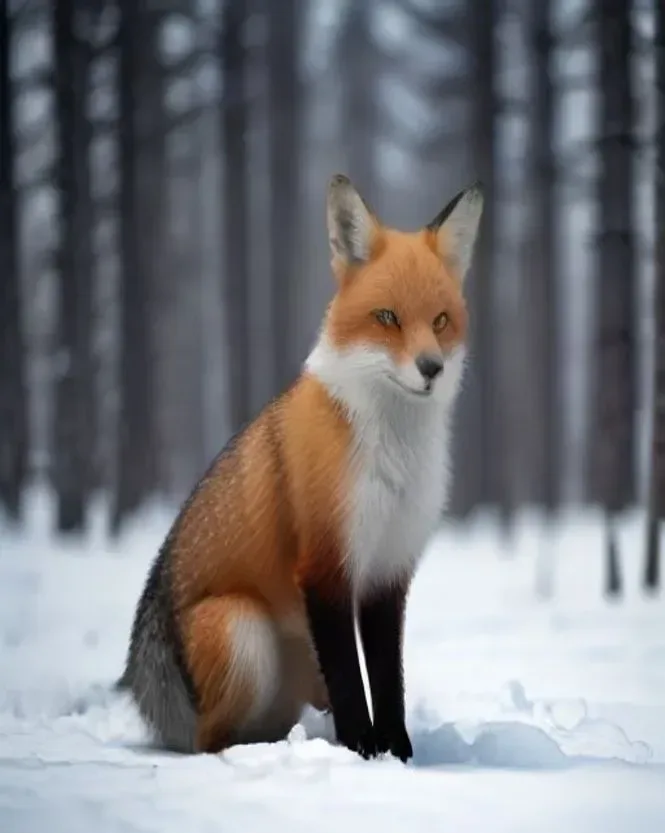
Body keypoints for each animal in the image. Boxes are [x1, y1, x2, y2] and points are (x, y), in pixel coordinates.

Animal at [117, 174, 484, 763]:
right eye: (388, 318)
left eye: (441, 321)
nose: (431, 368)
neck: (391, 452)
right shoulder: (324, 565)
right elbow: (352, 681)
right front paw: (362, 752)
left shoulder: (387, 571)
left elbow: (388, 680)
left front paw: (398, 754)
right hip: (245, 633)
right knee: (210, 740)